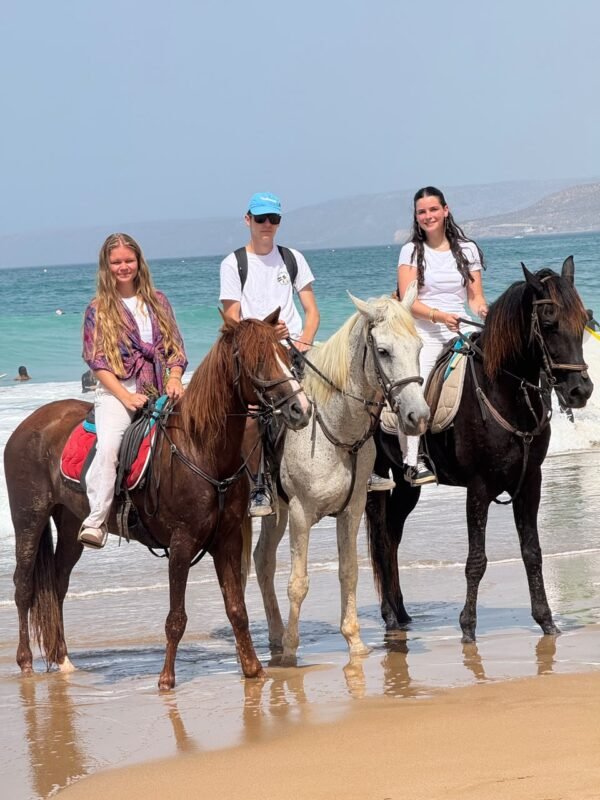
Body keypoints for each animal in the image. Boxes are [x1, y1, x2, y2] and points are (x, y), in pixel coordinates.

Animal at [5, 312, 312, 689]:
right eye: (258, 360)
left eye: (286, 355)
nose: (301, 409)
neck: (201, 449)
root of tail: (27, 426)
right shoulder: (181, 544)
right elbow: (176, 618)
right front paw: (166, 679)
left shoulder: (226, 540)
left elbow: (237, 609)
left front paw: (253, 670)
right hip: (28, 517)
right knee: (23, 587)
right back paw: (25, 662)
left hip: (70, 522)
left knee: (58, 584)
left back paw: (63, 661)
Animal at [253, 286, 431, 664]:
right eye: (383, 351)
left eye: (418, 347)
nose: (418, 417)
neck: (334, 428)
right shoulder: (301, 513)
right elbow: (298, 582)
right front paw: (291, 651)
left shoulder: (351, 510)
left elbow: (348, 571)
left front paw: (354, 642)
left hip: (279, 512)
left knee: (262, 559)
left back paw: (274, 635)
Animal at [365, 258, 593, 642]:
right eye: (549, 323)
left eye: (583, 320)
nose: (581, 390)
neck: (502, 391)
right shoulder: (479, 487)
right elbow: (476, 560)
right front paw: (468, 628)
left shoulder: (530, 482)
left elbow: (532, 552)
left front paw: (546, 621)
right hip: (378, 477)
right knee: (381, 540)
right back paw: (390, 617)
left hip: (408, 485)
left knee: (392, 535)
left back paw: (402, 612)